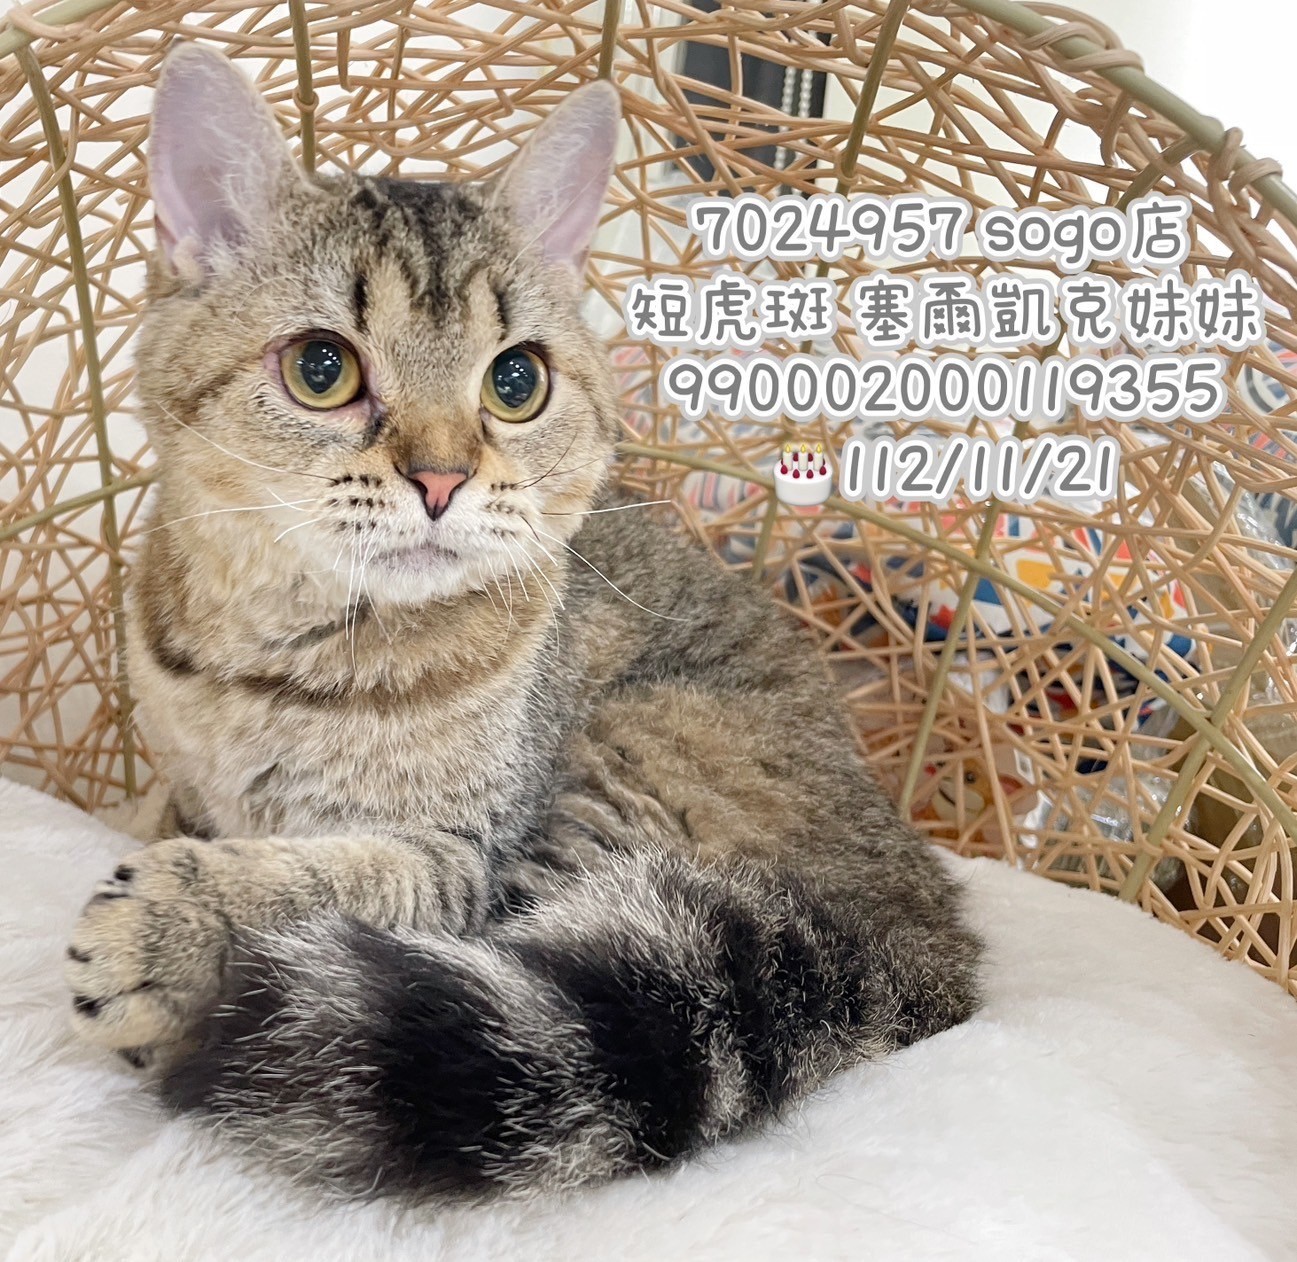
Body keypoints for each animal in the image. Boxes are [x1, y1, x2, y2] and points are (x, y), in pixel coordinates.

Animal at [64, 42, 982, 1202]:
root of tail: (928, 934)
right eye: (321, 367)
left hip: (633, 762)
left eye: (516, 380)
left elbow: (338, 874)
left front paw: (178, 929)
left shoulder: (470, 859)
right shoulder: (190, 777)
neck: (275, 659)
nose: (442, 477)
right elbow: (176, 810)